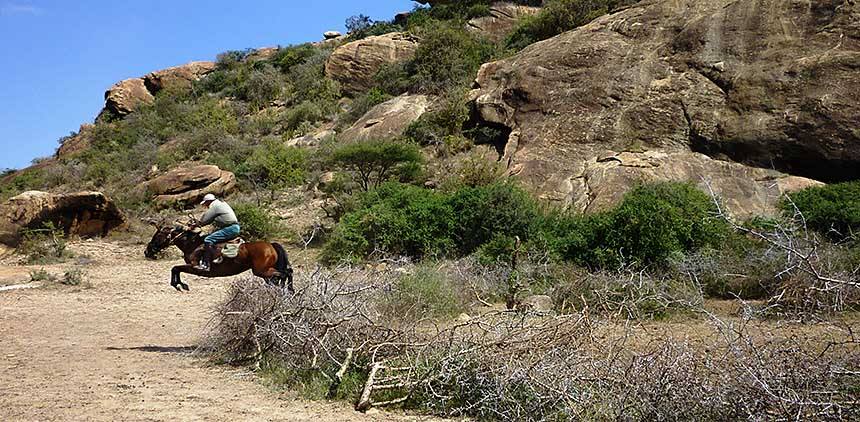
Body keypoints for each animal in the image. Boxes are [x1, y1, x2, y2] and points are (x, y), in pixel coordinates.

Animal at [144, 221, 294, 293]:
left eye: (157, 236)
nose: (147, 251)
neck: (192, 244)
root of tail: (271, 245)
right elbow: (176, 269)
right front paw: (180, 285)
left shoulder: (195, 267)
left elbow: (175, 268)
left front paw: (179, 285)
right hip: (266, 272)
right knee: (284, 274)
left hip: (261, 271)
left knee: (284, 274)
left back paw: (287, 290)